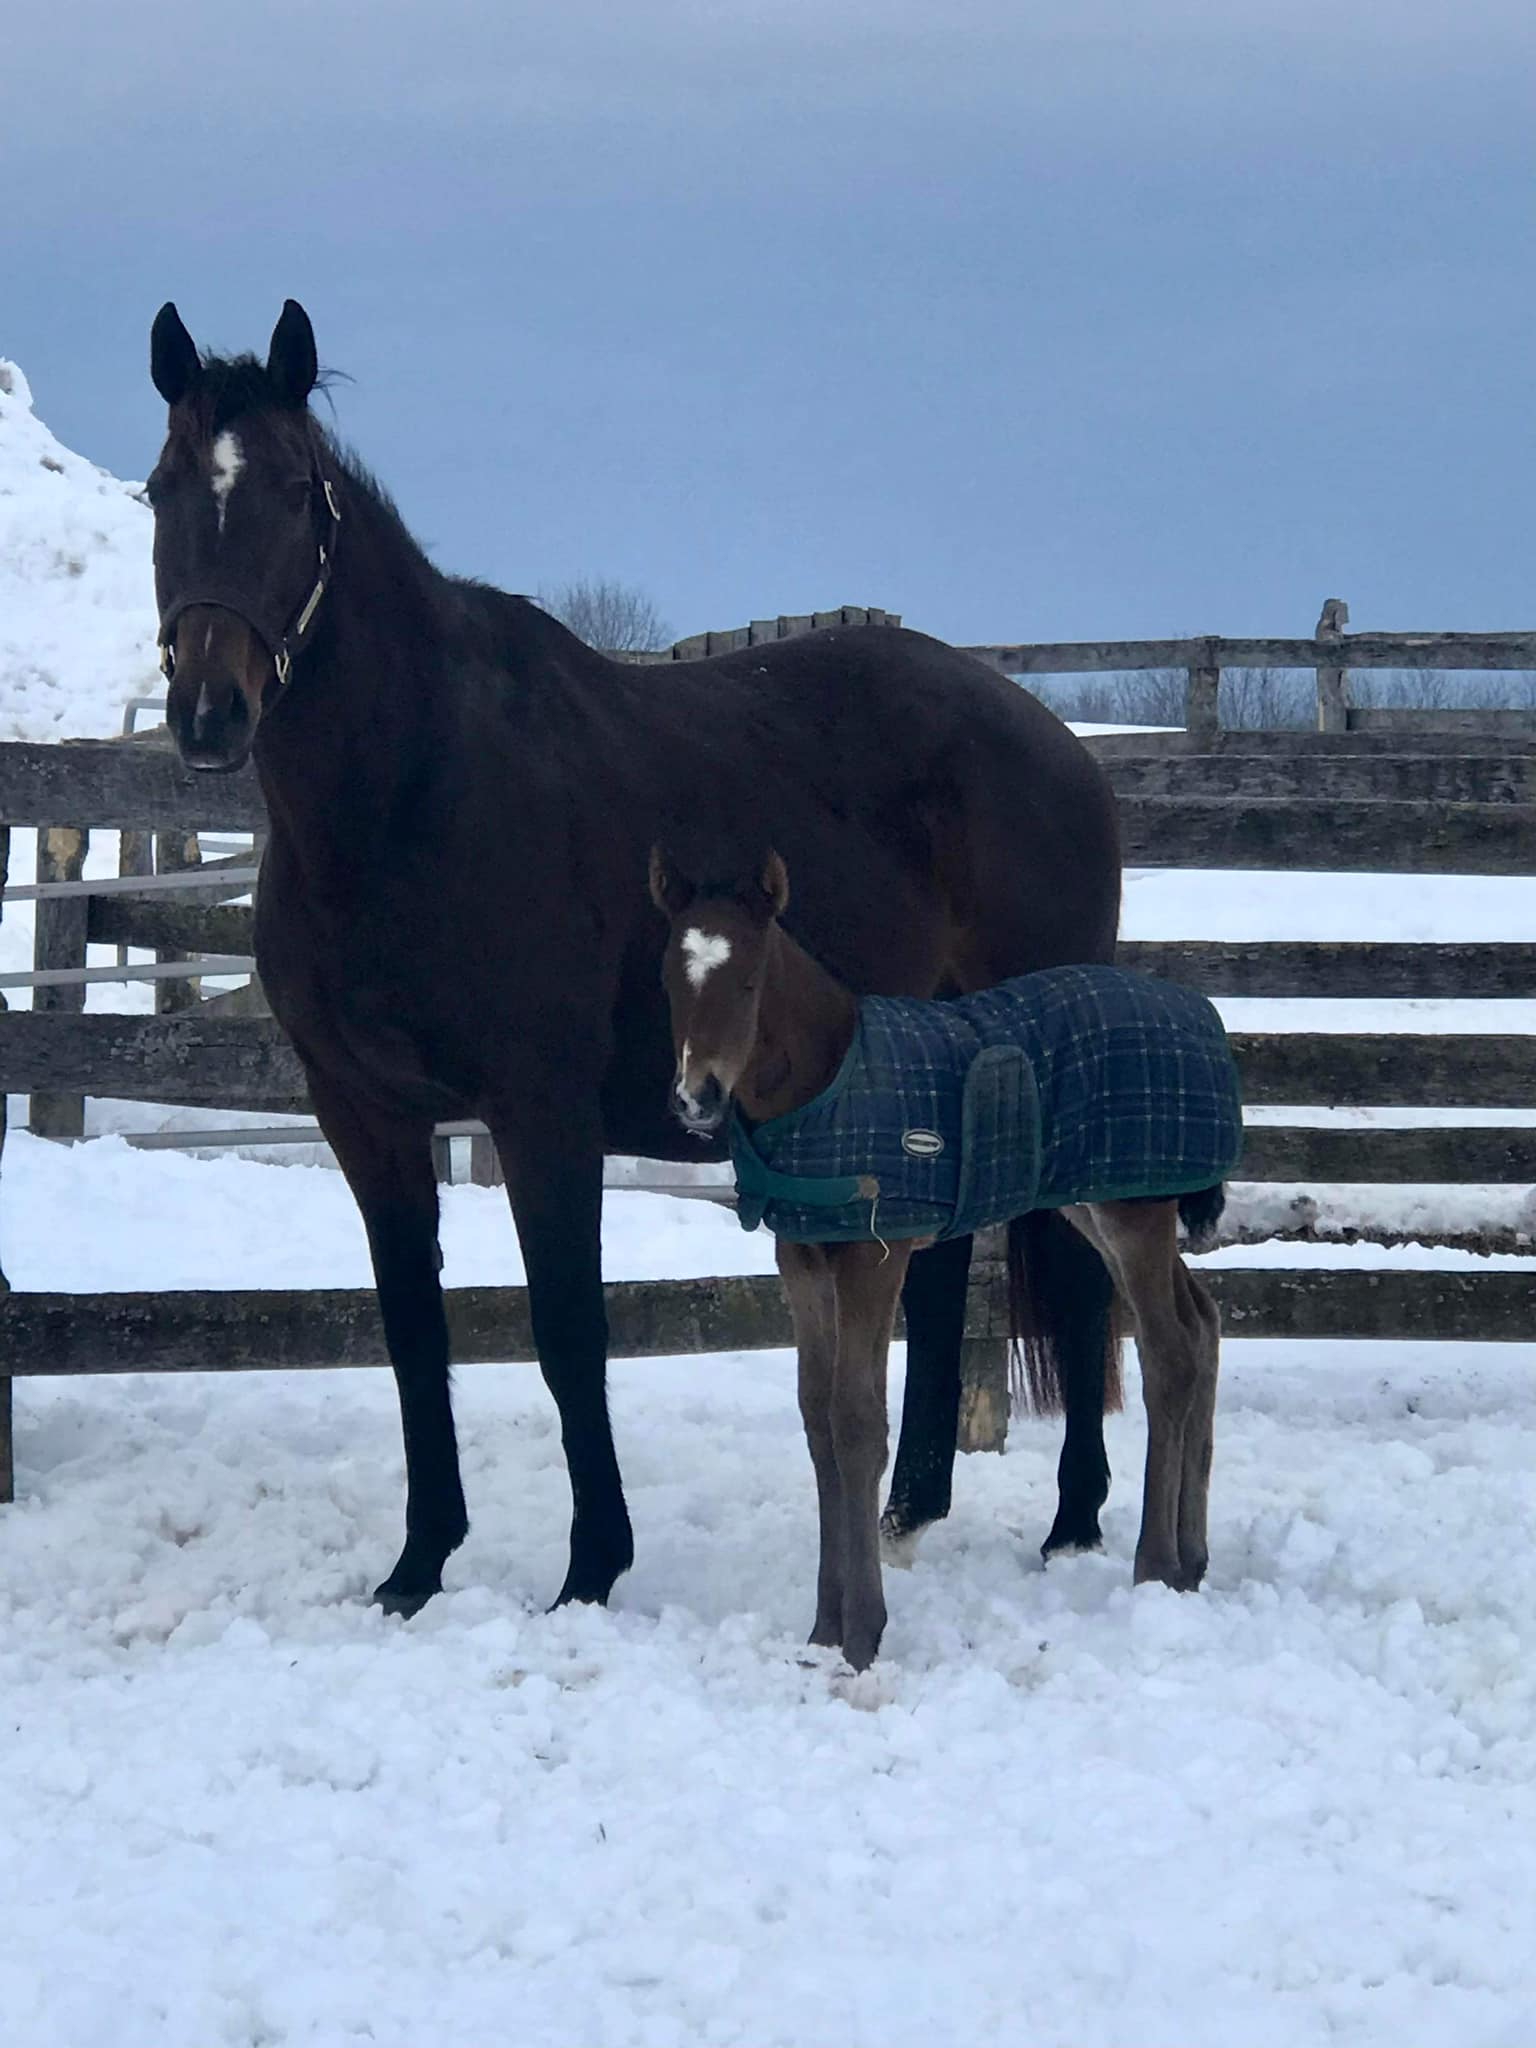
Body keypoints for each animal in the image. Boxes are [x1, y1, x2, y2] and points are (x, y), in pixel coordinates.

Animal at [147, 299, 1122, 1613]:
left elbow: (570, 1329)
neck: (415, 791)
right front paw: (417, 1564)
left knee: (1083, 1270)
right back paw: (910, 1509)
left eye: (298, 493)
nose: (211, 712)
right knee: (942, 1267)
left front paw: (590, 1568)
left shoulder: (540, 1109)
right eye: (161, 488)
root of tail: (1061, 749)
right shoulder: (366, 1114)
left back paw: (1075, 1521)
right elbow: (412, 1332)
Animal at [655, 843, 1236, 1662]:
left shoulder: (875, 1253)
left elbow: (856, 1421)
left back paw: (1157, 1566)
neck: (829, 1082)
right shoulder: (803, 1260)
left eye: (750, 977)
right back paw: (1192, 1559)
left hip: (1134, 1213)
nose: (696, 1097)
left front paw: (862, 1634)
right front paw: (823, 1629)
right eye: (670, 979)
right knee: (1202, 1322)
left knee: (1171, 1353)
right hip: (1098, 1202)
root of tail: (1200, 1017)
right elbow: (817, 1421)